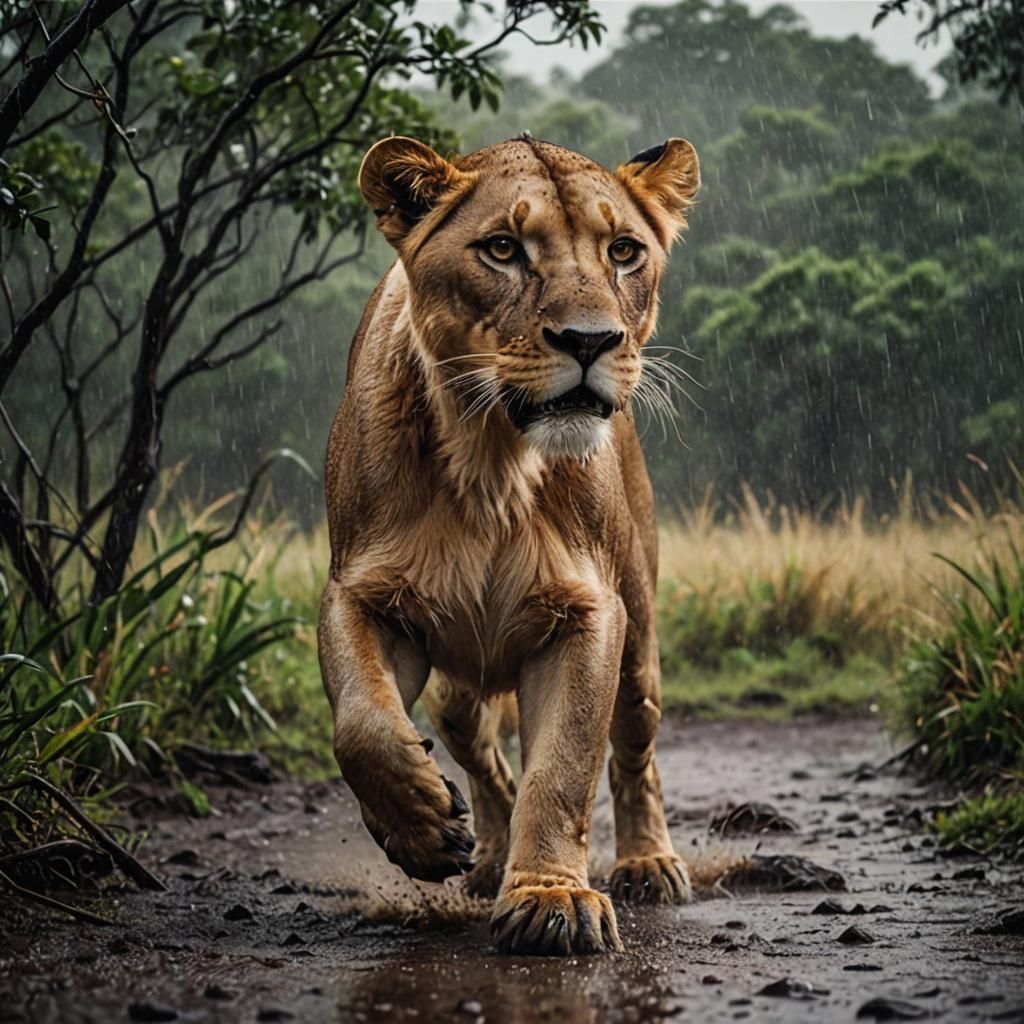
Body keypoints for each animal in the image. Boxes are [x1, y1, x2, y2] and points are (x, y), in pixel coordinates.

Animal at [318, 132, 700, 956]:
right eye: (502, 248)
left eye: (623, 251)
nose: (590, 340)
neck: (490, 459)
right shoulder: (360, 591)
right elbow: (362, 722)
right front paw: (421, 826)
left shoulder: (591, 613)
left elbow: (563, 767)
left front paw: (553, 899)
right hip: (460, 685)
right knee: (481, 753)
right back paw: (482, 852)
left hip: (640, 647)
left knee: (635, 755)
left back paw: (649, 863)